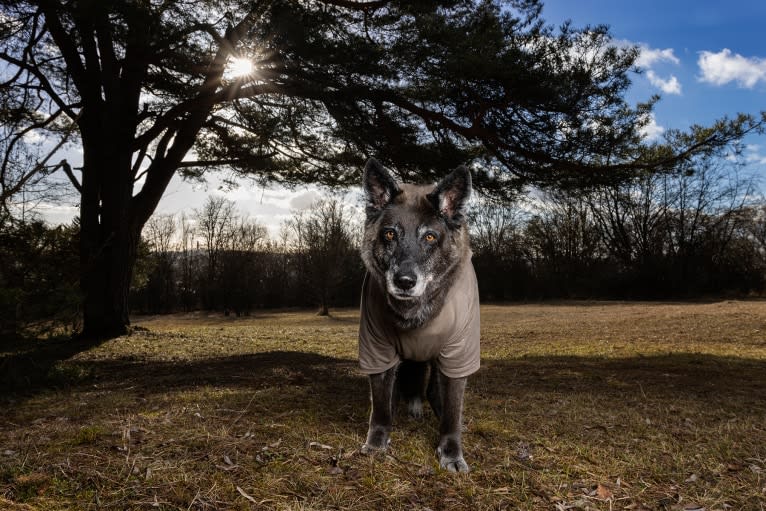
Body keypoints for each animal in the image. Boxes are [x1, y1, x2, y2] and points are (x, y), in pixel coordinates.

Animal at [358, 158, 480, 474]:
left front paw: (451, 452)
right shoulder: (377, 350)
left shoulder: (458, 356)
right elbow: (381, 405)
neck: (415, 313)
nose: (403, 281)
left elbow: (452, 412)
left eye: (430, 236)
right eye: (390, 233)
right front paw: (377, 442)